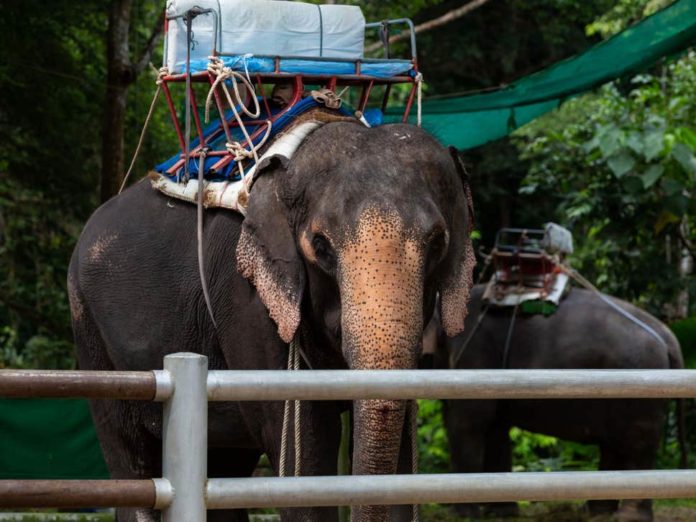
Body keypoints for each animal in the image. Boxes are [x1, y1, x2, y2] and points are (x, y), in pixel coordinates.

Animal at [68, 122, 476, 522]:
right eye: (320, 246)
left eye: (437, 244)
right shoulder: (248, 299)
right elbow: (307, 456)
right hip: (90, 330)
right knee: (131, 457)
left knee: (224, 465)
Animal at [434, 284, 685, 522]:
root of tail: (669, 338)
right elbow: (495, 427)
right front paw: (500, 513)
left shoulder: (474, 352)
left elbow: (468, 424)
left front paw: (461, 515)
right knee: (614, 444)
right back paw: (598, 513)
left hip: (641, 387)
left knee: (636, 445)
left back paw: (627, 516)